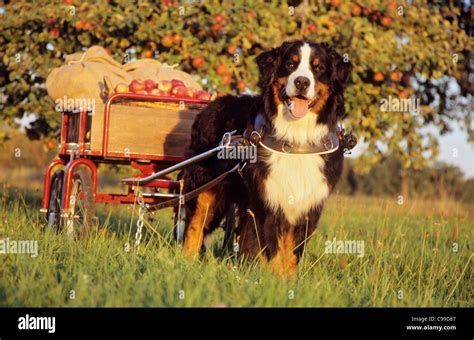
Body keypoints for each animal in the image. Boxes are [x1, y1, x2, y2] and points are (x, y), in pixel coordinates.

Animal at [181, 40, 352, 278]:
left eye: (318, 68)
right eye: (290, 64)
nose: (301, 82)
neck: (296, 141)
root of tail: (210, 104)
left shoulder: (307, 205)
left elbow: (291, 252)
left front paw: (289, 282)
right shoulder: (270, 200)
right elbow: (275, 250)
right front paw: (275, 280)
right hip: (204, 187)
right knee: (195, 226)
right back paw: (185, 264)